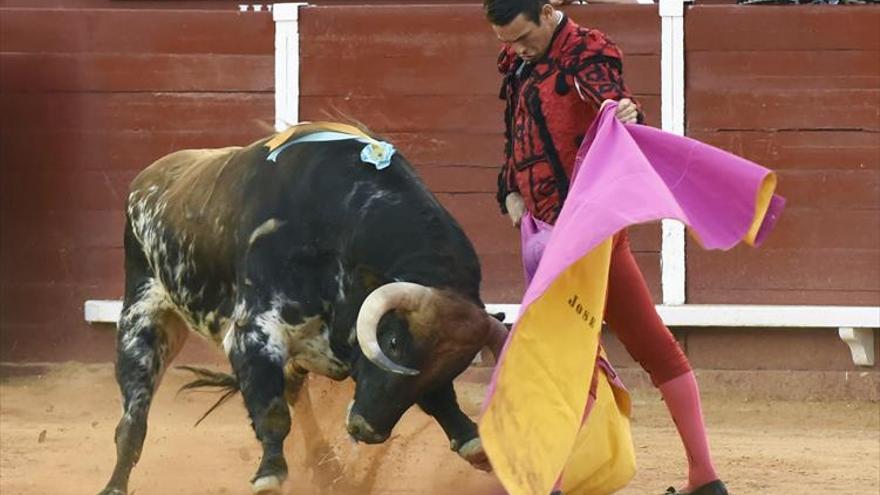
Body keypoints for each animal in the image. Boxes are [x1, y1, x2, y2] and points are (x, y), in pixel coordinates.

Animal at [99, 123, 506, 495]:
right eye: (392, 343)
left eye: (454, 367)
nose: (367, 430)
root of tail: (146, 180)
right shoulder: (254, 332)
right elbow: (272, 409)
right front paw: (270, 473)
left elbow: (439, 401)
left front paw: (473, 442)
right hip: (142, 320)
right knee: (132, 421)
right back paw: (115, 485)